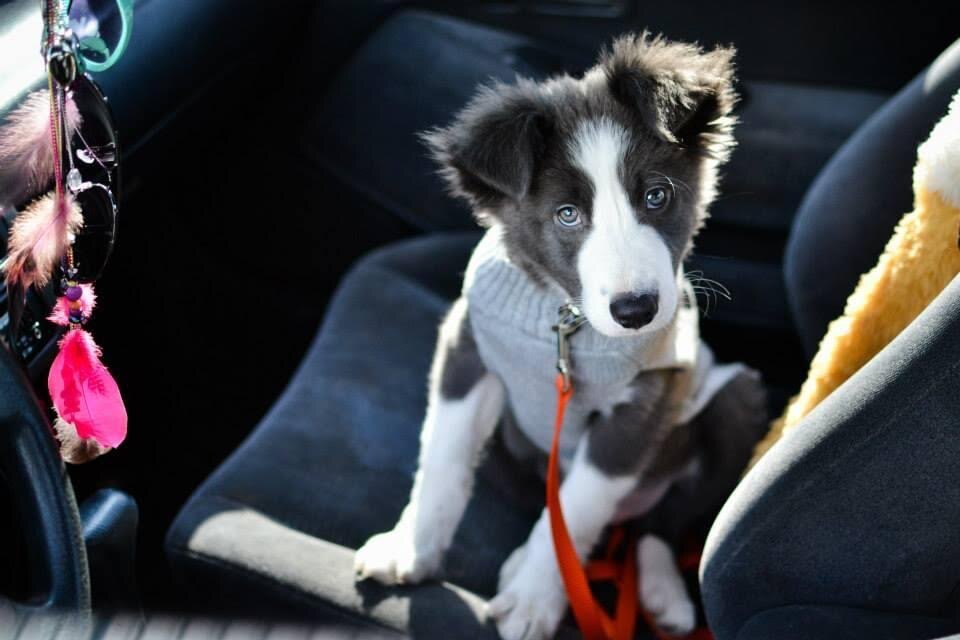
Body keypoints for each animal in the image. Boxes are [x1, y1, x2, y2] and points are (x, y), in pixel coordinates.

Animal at [355, 33, 768, 640]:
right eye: (567, 215)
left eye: (657, 196)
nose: (636, 311)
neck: (566, 322)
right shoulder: (467, 347)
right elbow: (444, 460)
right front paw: (410, 551)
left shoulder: (642, 408)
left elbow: (574, 511)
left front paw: (533, 602)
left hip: (733, 399)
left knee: (663, 524)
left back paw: (661, 593)